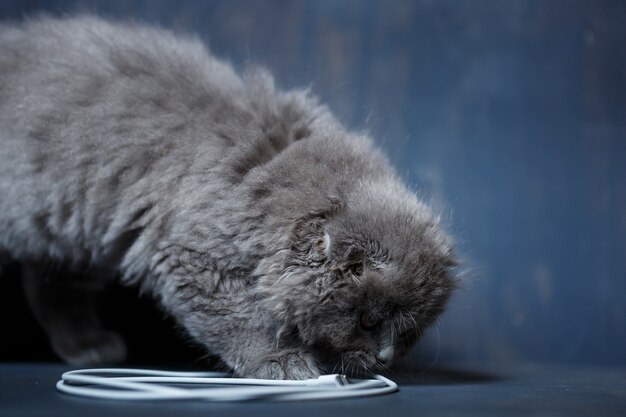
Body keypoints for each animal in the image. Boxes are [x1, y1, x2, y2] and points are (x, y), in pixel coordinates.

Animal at [0, 15, 454, 376]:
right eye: (367, 320)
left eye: (409, 333)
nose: (385, 356)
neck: (268, 169)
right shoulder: (192, 259)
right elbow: (241, 321)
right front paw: (279, 360)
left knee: (50, 286)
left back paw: (86, 346)